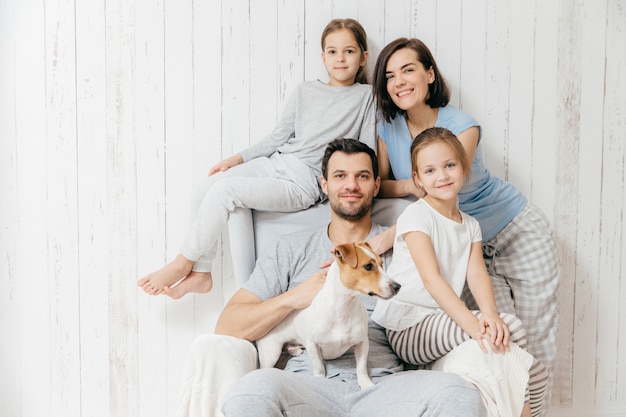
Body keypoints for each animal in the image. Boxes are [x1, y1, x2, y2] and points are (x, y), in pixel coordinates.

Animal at [255, 242, 398, 388]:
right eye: (368, 266)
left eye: (381, 264)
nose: (397, 286)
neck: (344, 308)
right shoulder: (313, 345)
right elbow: (319, 367)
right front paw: (320, 379)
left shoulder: (362, 343)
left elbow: (361, 367)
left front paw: (366, 383)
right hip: (271, 353)